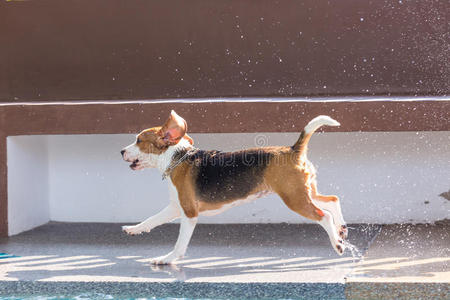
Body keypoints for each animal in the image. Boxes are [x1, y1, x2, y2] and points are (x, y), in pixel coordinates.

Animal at [121, 110, 346, 264]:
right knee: (333, 200)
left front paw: (168, 259)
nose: (121, 151)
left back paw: (337, 243)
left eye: (139, 140)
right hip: (306, 191)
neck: (177, 157)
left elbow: (179, 243)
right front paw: (134, 229)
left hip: (294, 198)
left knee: (324, 215)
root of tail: (293, 150)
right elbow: (151, 220)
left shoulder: (189, 213)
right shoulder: (176, 207)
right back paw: (341, 230)